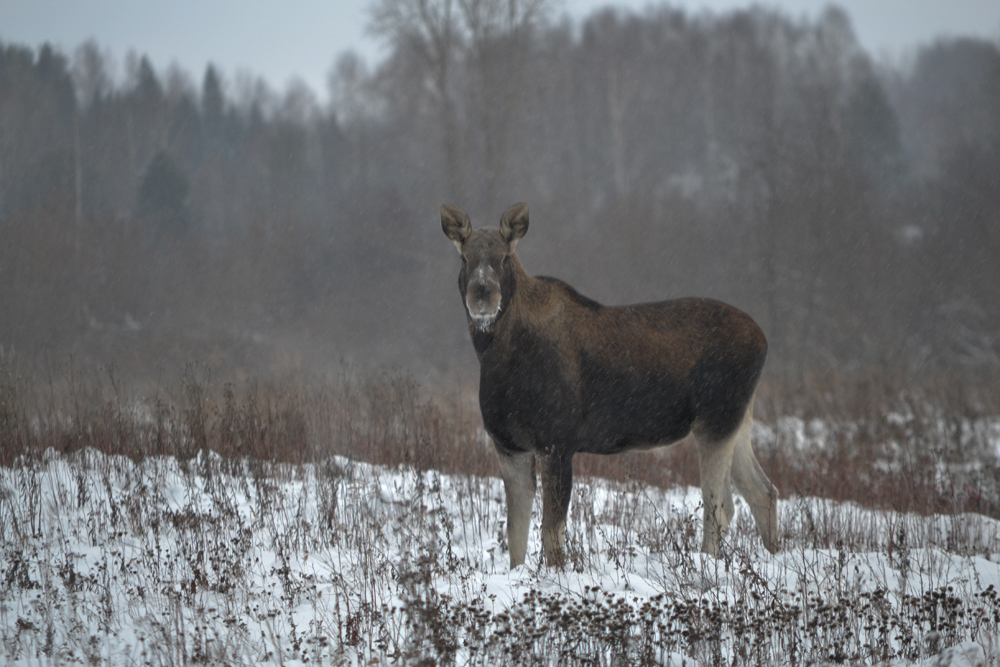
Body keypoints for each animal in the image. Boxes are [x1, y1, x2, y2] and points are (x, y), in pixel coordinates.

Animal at [446, 204, 780, 568]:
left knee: (720, 506)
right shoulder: (508, 445)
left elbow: (552, 532)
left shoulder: (556, 442)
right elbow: (515, 534)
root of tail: (764, 341)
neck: (497, 359)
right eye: (463, 258)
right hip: (738, 420)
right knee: (763, 491)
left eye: (505, 257)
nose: (482, 294)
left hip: (717, 419)